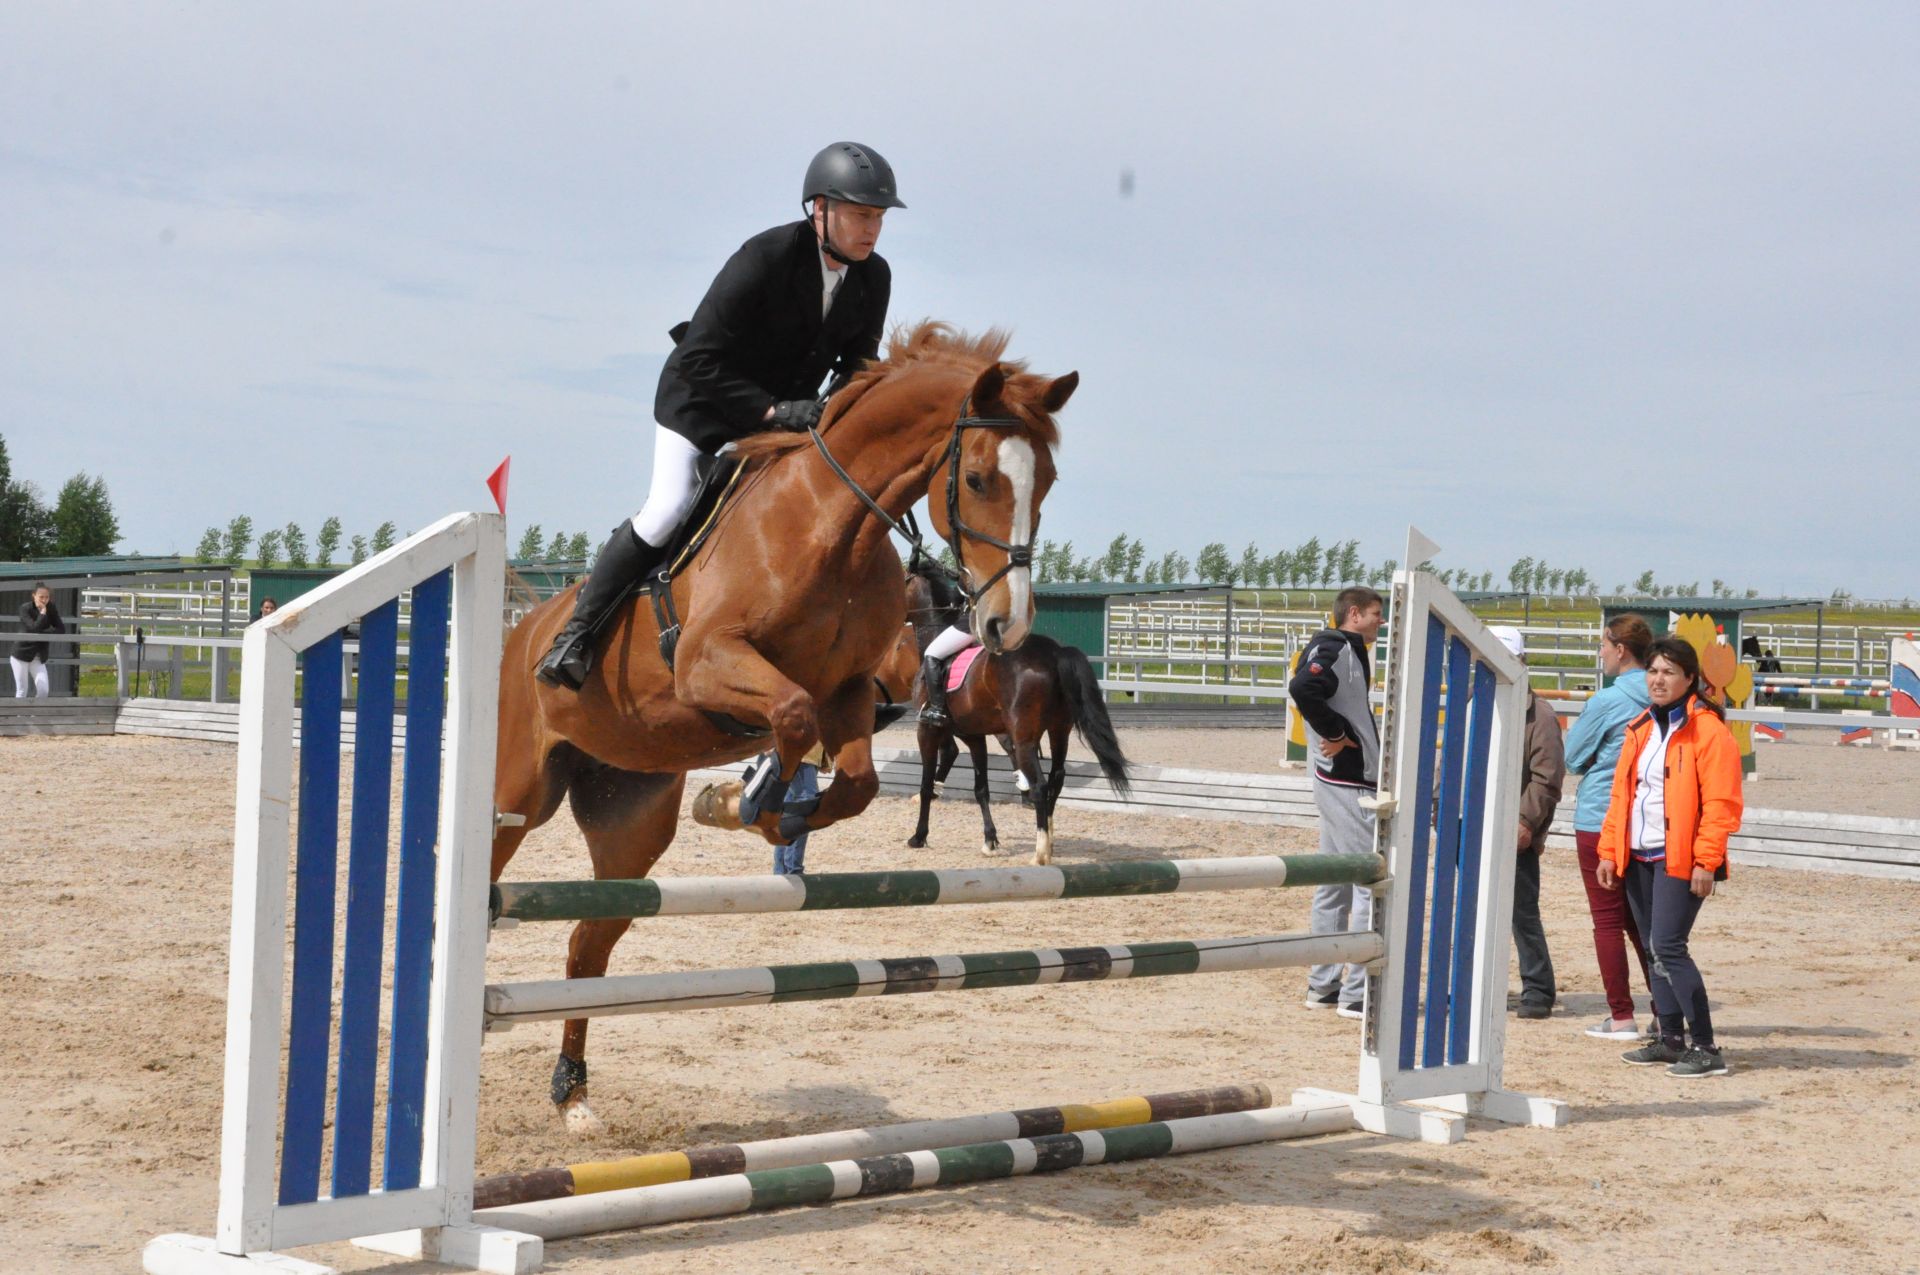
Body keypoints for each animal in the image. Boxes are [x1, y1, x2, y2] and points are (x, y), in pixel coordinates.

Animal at [491, 324, 1082, 1129]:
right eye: (980, 479)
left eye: (1046, 483)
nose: (1006, 626)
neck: (830, 524)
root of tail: (524, 629)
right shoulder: (708, 663)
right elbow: (792, 718)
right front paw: (744, 801)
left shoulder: (849, 694)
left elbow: (852, 779)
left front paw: (751, 807)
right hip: (514, 794)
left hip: (629, 816)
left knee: (588, 943)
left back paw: (573, 1092)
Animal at [906, 560, 1128, 867]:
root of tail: (1056, 652)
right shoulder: (974, 736)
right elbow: (981, 789)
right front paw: (990, 841)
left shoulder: (927, 730)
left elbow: (926, 784)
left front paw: (919, 837)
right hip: (1059, 731)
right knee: (1057, 778)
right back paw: (1050, 843)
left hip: (1024, 739)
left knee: (1040, 786)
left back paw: (1040, 854)